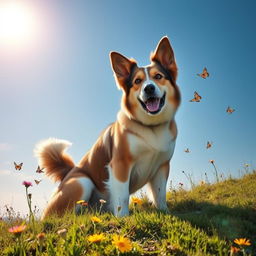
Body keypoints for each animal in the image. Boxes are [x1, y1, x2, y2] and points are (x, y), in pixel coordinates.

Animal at [35, 36, 181, 219]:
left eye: (158, 76)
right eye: (137, 81)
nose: (149, 88)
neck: (151, 127)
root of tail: (68, 173)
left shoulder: (162, 166)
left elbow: (160, 194)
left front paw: (165, 212)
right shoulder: (120, 164)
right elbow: (122, 196)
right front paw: (123, 218)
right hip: (82, 182)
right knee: (64, 216)